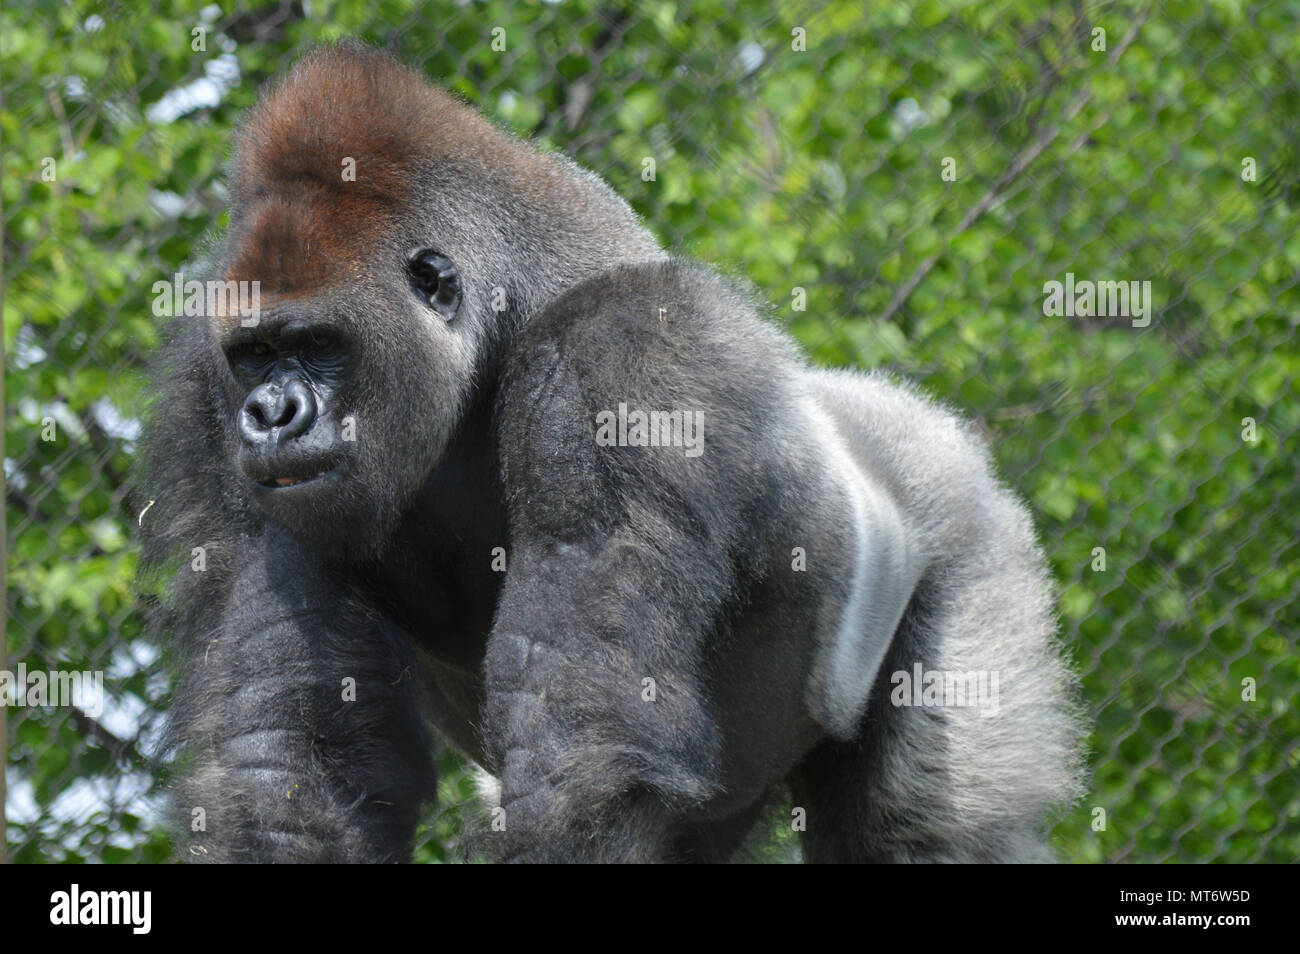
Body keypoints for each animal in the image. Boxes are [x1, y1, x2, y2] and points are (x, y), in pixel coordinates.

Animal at [137, 42, 1086, 868]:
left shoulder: (616, 359)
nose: (270, 415)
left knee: (922, 828)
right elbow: (286, 770)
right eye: (256, 355)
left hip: (966, 525)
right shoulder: (204, 395)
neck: (506, 312)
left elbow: (583, 770)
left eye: (320, 345)